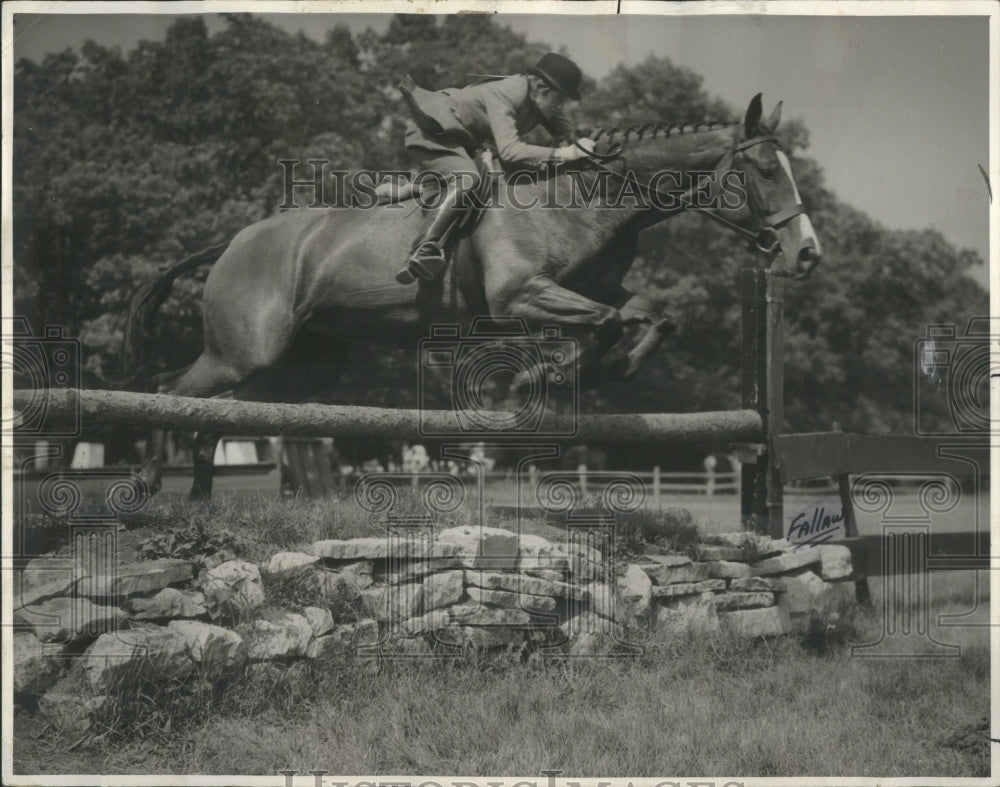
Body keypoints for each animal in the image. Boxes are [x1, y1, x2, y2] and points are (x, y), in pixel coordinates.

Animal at [123, 94, 820, 498]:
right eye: (764, 172)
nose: (806, 254)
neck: (585, 200)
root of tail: (234, 240)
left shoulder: (593, 290)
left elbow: (649, 317)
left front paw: (587, 373)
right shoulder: (517, 298)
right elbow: (604, 322)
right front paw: (544, 375)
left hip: (301, 369)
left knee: (217, 413)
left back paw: (202, 499)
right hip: (247, 351)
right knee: (166, 392)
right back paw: (149, 479)